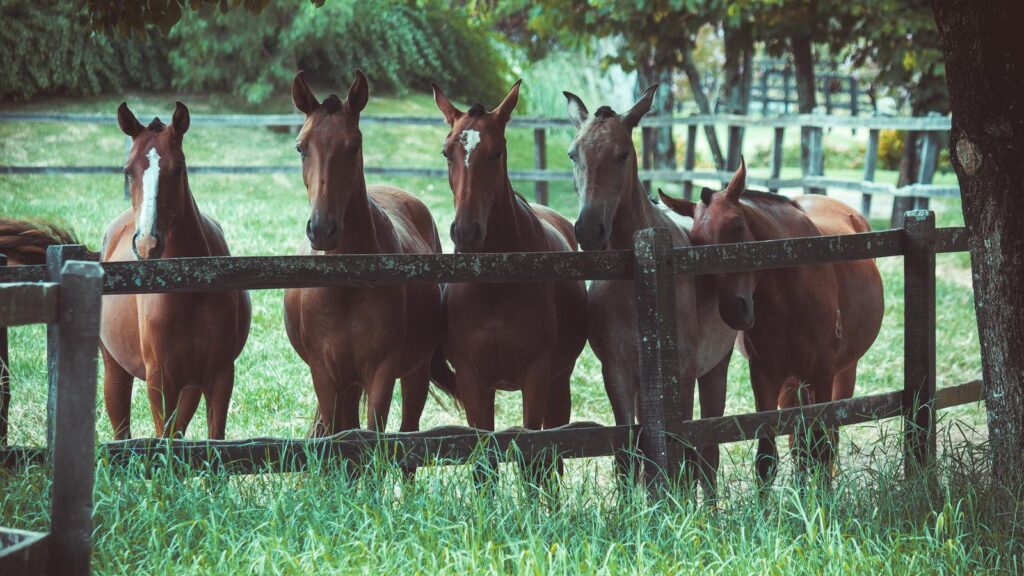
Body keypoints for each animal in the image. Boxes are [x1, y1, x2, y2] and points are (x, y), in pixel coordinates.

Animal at [105, 101, 251, 439]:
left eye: (179, 167)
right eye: (127, 170)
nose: (147, 243)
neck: (190, 286)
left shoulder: (219, 376)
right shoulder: (160, 381)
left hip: (190, 387)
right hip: (114, 371)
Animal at [284, 70, 454, 438]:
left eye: (355, 145)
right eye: (301, 147)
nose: (322, 228)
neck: (348, 284)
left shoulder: (382, 372)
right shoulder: (326, 375)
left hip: (415, 371)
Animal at [431, 80, 588, 471]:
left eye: (497, 152)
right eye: (446, 152)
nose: (466, 232)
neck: (496, 285)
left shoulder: (536, 374)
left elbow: (535, 454)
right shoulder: (472, 380)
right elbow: (482, 462)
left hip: (559, 381)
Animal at [563, 87, 737, 496]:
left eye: (623, 153)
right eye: (573, 154)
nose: (588, 230)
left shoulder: (683, 374)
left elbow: (684, 453)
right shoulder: (618, 372)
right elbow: (628, 453)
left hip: (715, 369)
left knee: (708, 452)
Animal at [658, 160, 884, 485]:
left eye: (737, 226)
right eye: (697, 243)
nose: (733, 310)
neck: (791, 292)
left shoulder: (822, 374)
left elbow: (821, 448)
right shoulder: (765, 376)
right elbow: (767, 458)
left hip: (842, 374)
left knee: (826, 440)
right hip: (792, 384)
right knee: (799, 443)